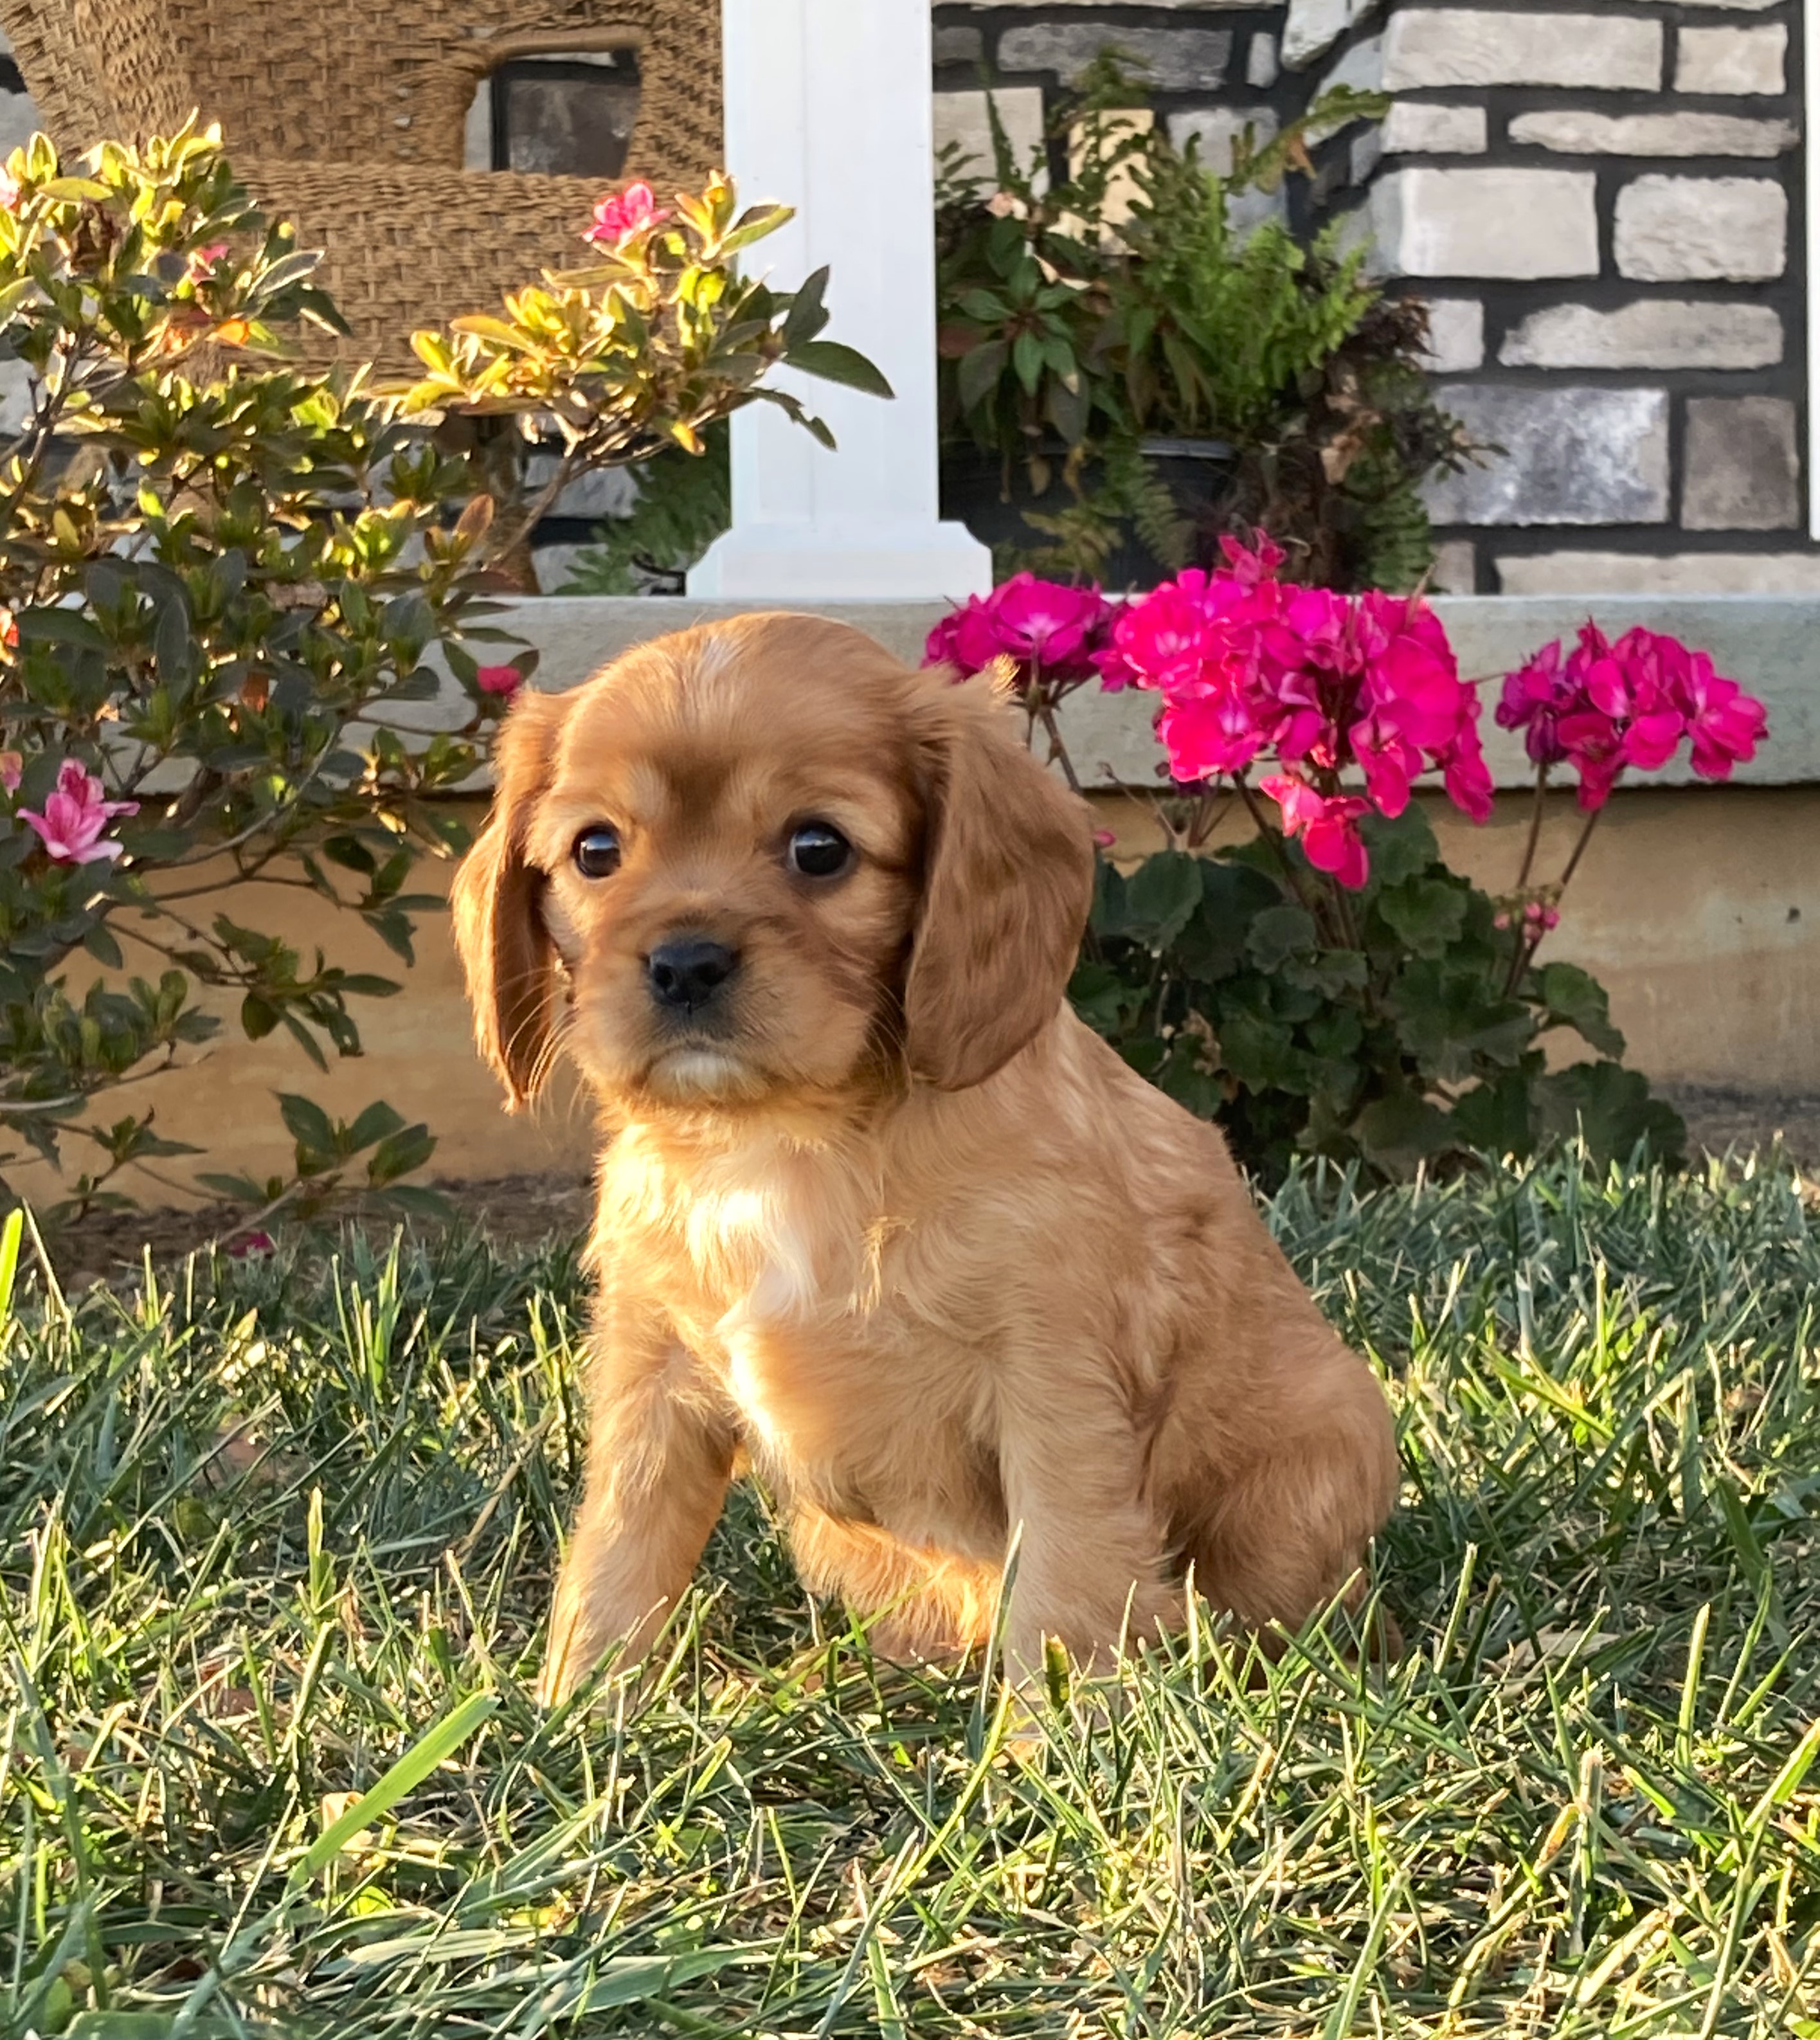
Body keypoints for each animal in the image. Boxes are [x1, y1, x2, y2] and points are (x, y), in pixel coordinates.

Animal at [451, 608, 1395, 1705]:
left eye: (819, 848)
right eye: (594, 850)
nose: (683, 963)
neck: (776, 1143)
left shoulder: (1054, 1389)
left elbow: (1066, 1585)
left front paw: (1054, 1740)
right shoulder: (652, 1374)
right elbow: (617, 1554)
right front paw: (576, 1711)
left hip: (1309, 1463)